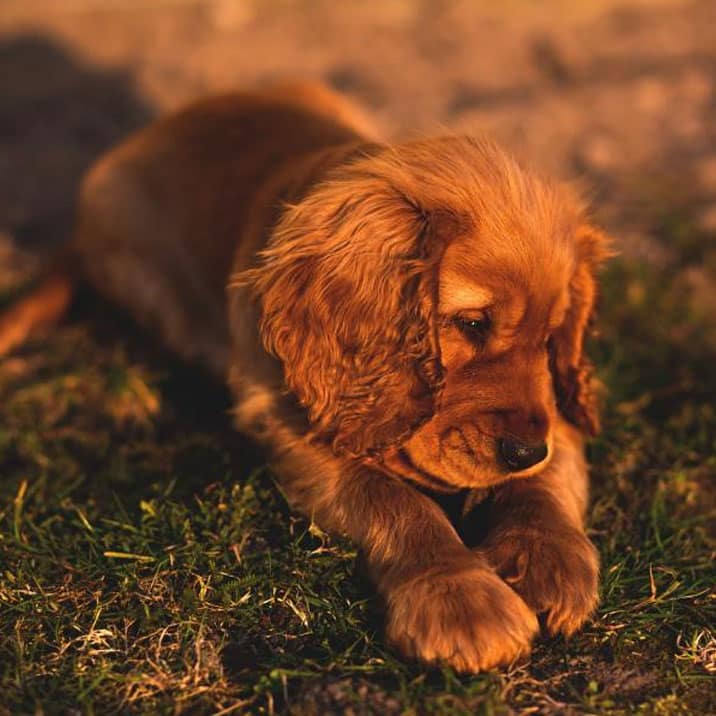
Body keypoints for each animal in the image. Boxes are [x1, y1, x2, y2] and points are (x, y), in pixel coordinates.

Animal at [2, 82, 612, 672]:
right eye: (471, 323)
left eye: (552, 338)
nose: (523, 450)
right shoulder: (289, 420)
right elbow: (393, 498)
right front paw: (461, 601)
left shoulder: (554, 410)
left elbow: (550, 471)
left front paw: (546, 558)